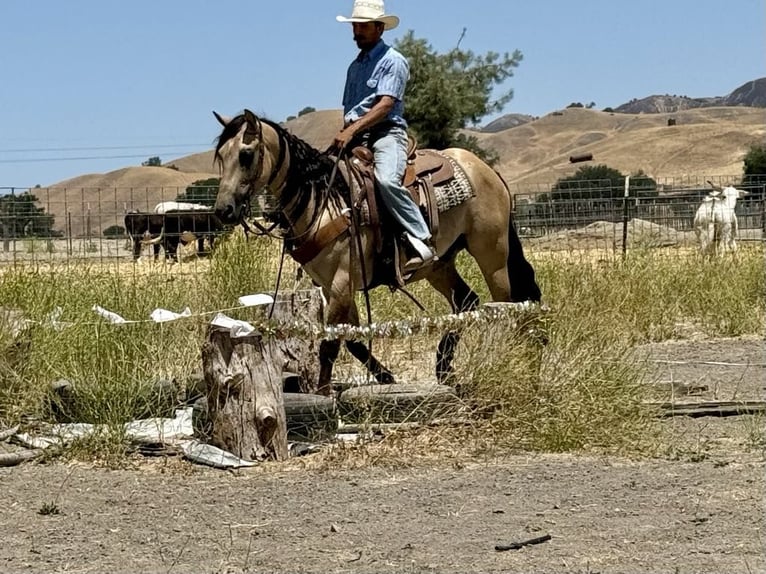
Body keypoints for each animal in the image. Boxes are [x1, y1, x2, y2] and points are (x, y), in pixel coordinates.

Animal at [213, 109, 541, 395]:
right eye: (221, 156)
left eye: (246, 154)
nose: (223, 210)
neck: (325, 201)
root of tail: (487, 170)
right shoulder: (333, 287)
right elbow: (352, 341)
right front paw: (386, 377)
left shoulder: (341, 282)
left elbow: (330, 344)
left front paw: (322, 394)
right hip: (440, 264)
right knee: (467, 302)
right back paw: (444, 367)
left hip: (491, 253)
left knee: (507, 307)